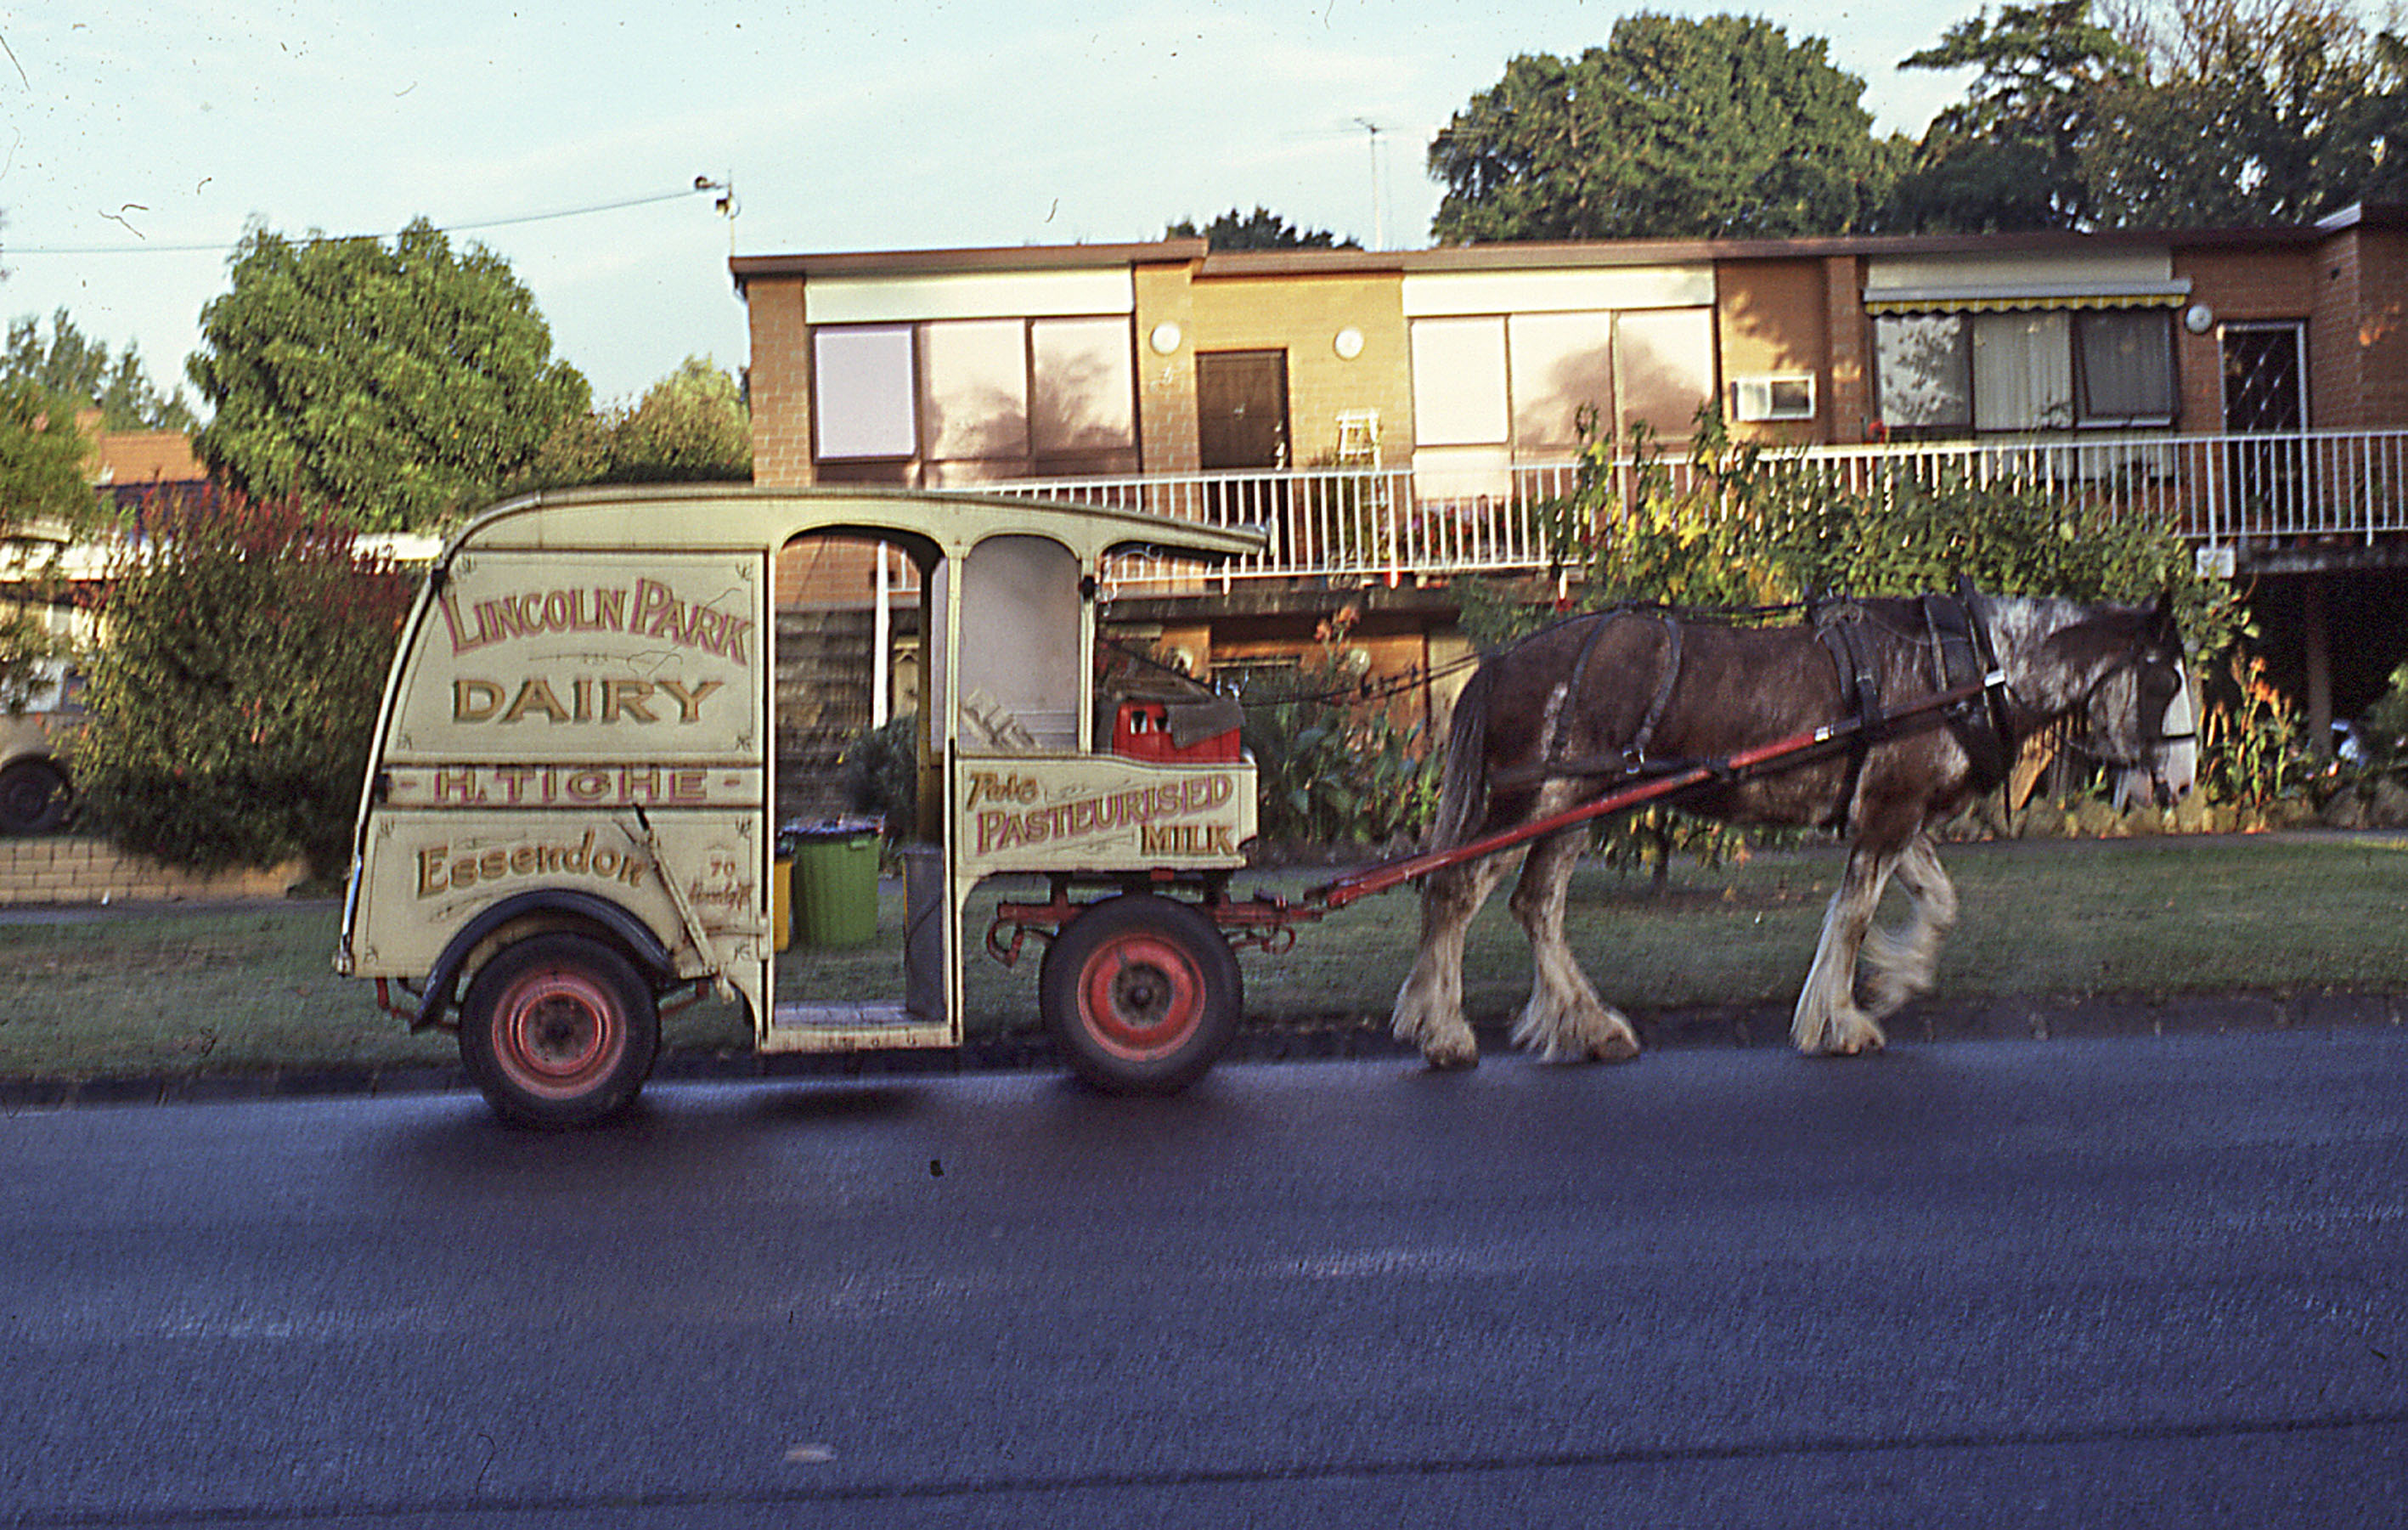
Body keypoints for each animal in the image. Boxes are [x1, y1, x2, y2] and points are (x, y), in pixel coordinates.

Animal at [1396, 585, 2205, 1064]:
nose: (2182, 781)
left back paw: (1586, 1025)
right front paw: (1840, 1019)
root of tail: (1502, 661)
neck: (1972, 669)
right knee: (1455, 892)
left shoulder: (1896, 811)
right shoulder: (1887, 816)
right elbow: (1850, 916)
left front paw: (1892, 979)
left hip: (1576, 808)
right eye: (2166, 678)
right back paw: (1446, 1032)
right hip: (1537, 801)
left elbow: (1936, 904)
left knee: (1536, 906)